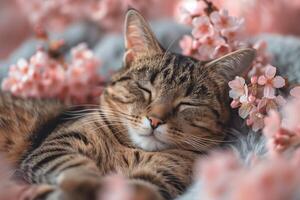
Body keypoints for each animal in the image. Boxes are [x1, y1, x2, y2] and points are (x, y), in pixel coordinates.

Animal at [0, 9, 255, 200]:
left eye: (187, 103)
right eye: (145, 89)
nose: (155, 120)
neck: (133, 151)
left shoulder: (166, 176)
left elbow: (141, 190)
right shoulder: (57, 145)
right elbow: (74, 166)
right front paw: (85, 185)